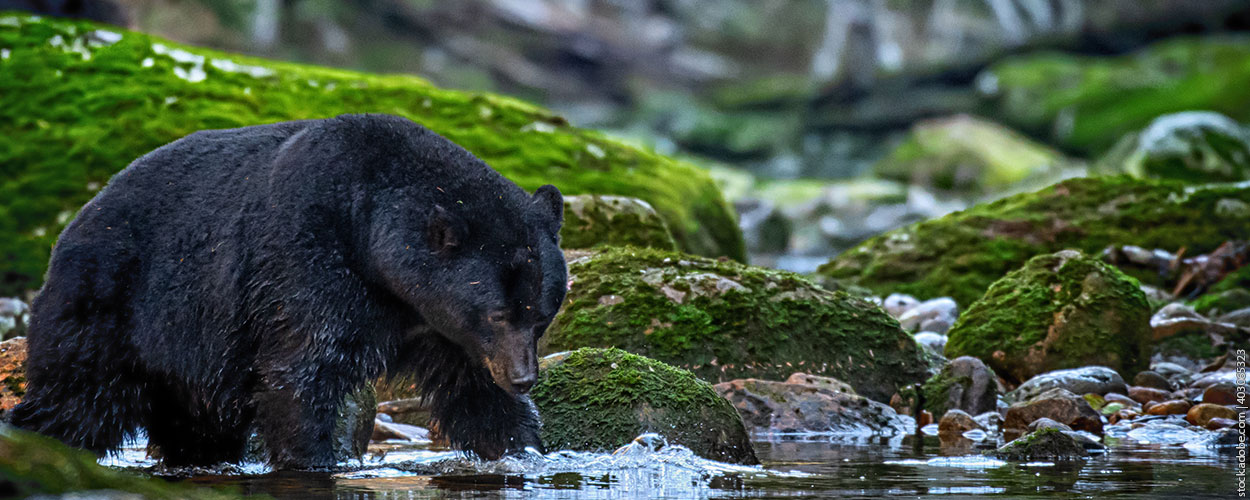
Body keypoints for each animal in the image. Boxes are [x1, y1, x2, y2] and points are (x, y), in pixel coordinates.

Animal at [8, 113, 567, 470]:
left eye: (540, 315)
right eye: (497, 313)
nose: (524, 378)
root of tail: (76, 223)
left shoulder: (442, 328)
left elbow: (476, 394)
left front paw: (522, 448)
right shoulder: (307, 265)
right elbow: (299, 372)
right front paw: (313, 459)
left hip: (189, 361)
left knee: (197, 427)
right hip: (113, 305)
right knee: (78, 399)